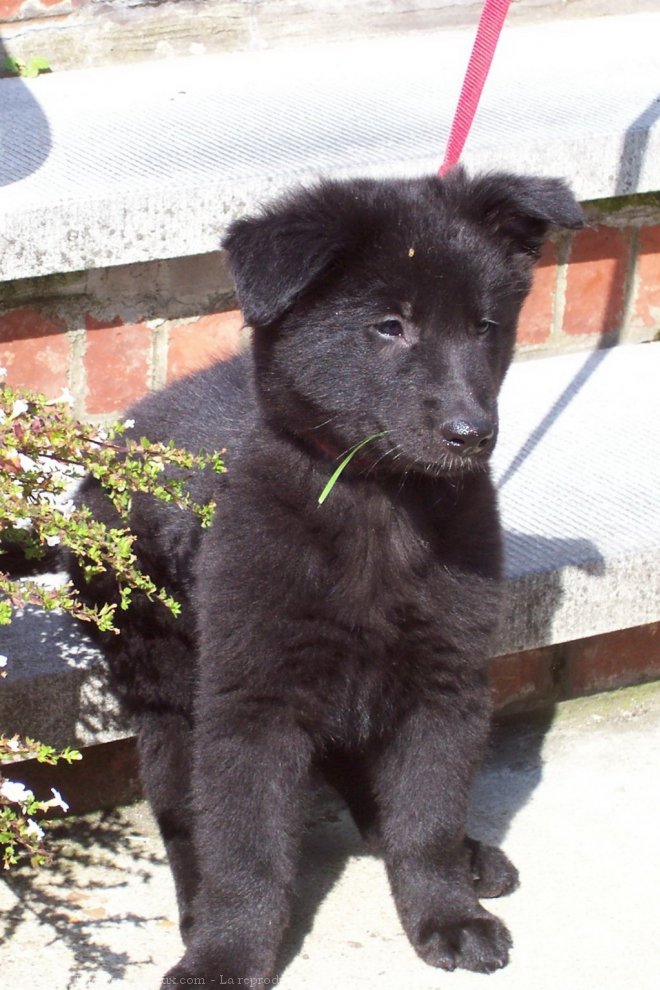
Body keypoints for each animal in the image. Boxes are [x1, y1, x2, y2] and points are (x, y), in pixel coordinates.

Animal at [68, 170, 584, 984]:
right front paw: (227, 952)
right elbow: (245, 847)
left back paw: (466, 858)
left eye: (485, 327)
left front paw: (446, 911)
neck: (376, 498)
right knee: (184, 814)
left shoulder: (445, 683)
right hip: (165, 682)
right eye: (389, 326)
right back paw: (196, 908)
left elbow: (427, 817)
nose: (473, 435)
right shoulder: (251, 700)